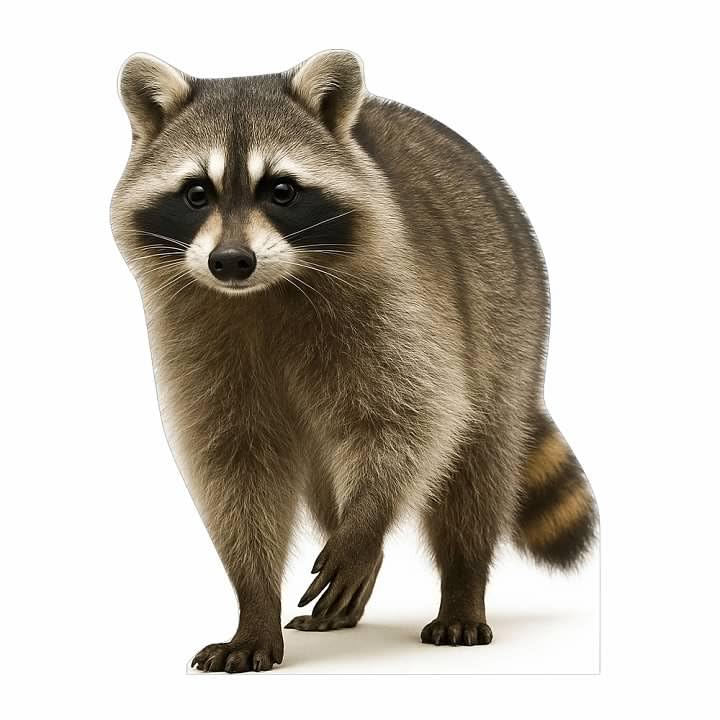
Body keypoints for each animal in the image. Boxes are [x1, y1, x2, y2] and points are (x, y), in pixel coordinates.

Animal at [110, 50, 598, 673]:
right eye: (196, 193)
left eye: (282, 190)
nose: (231, 261)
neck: (264, 290)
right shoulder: (193, 331)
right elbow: (236, 461)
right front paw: (254, 602)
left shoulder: (398, 300)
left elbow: (414, 417)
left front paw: (366, 525)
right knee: (326, 486)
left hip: (510, 313)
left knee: (476, 465)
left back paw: (460, 583)